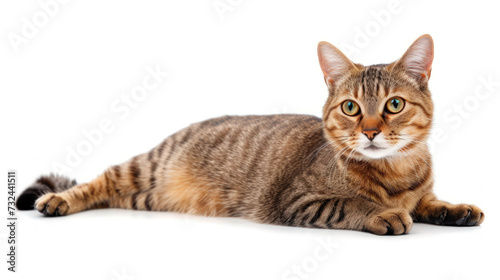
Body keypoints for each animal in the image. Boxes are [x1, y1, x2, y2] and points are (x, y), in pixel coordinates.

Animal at [16, 35, 484, 236]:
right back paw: (56, 200)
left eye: (394, 105)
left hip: (145, 196)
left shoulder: (420, 193)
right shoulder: (298, 200)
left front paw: (454, 209)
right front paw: (382, 212)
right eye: (351, 108)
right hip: (143, 169)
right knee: (98, 181)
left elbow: (428, 202)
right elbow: (351, 203)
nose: (370, 131)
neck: (396, 171)